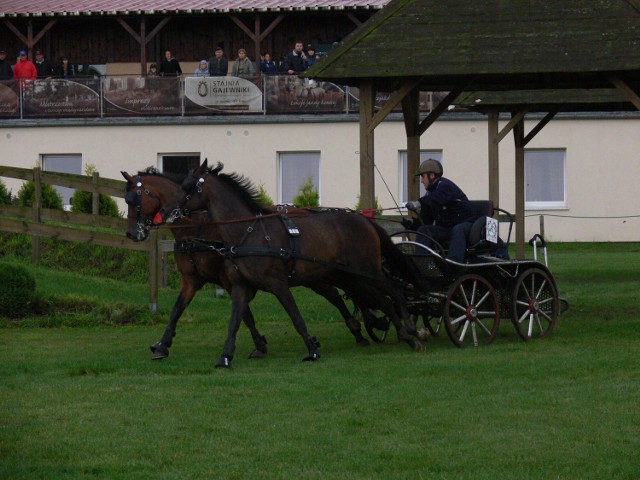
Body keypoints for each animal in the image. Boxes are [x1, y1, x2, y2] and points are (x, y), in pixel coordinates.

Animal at [121, 168, 370, 360]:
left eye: (135, 200)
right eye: (127, 201)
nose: (133, 233)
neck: (199, 229)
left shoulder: (229, 280)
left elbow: (245, 315)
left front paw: (259, 344)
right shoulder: (192, 280)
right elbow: (176, 311)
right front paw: (162, 345)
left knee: (334, 295)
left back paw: (357, 332)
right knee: (334, 294)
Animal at [179, 159, 420, 366]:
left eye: (189, 186)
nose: (175, 213)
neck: (249, 233)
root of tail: (364, 220)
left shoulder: (278, 284)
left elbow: (296, 317)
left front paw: (312, 351)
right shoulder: (241, 286)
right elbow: (235, 322)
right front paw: (226, 357)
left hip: (367, 268)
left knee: (394, 290)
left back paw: (411, 331)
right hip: (352, 275)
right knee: (383, 300)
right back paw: (400, 332)